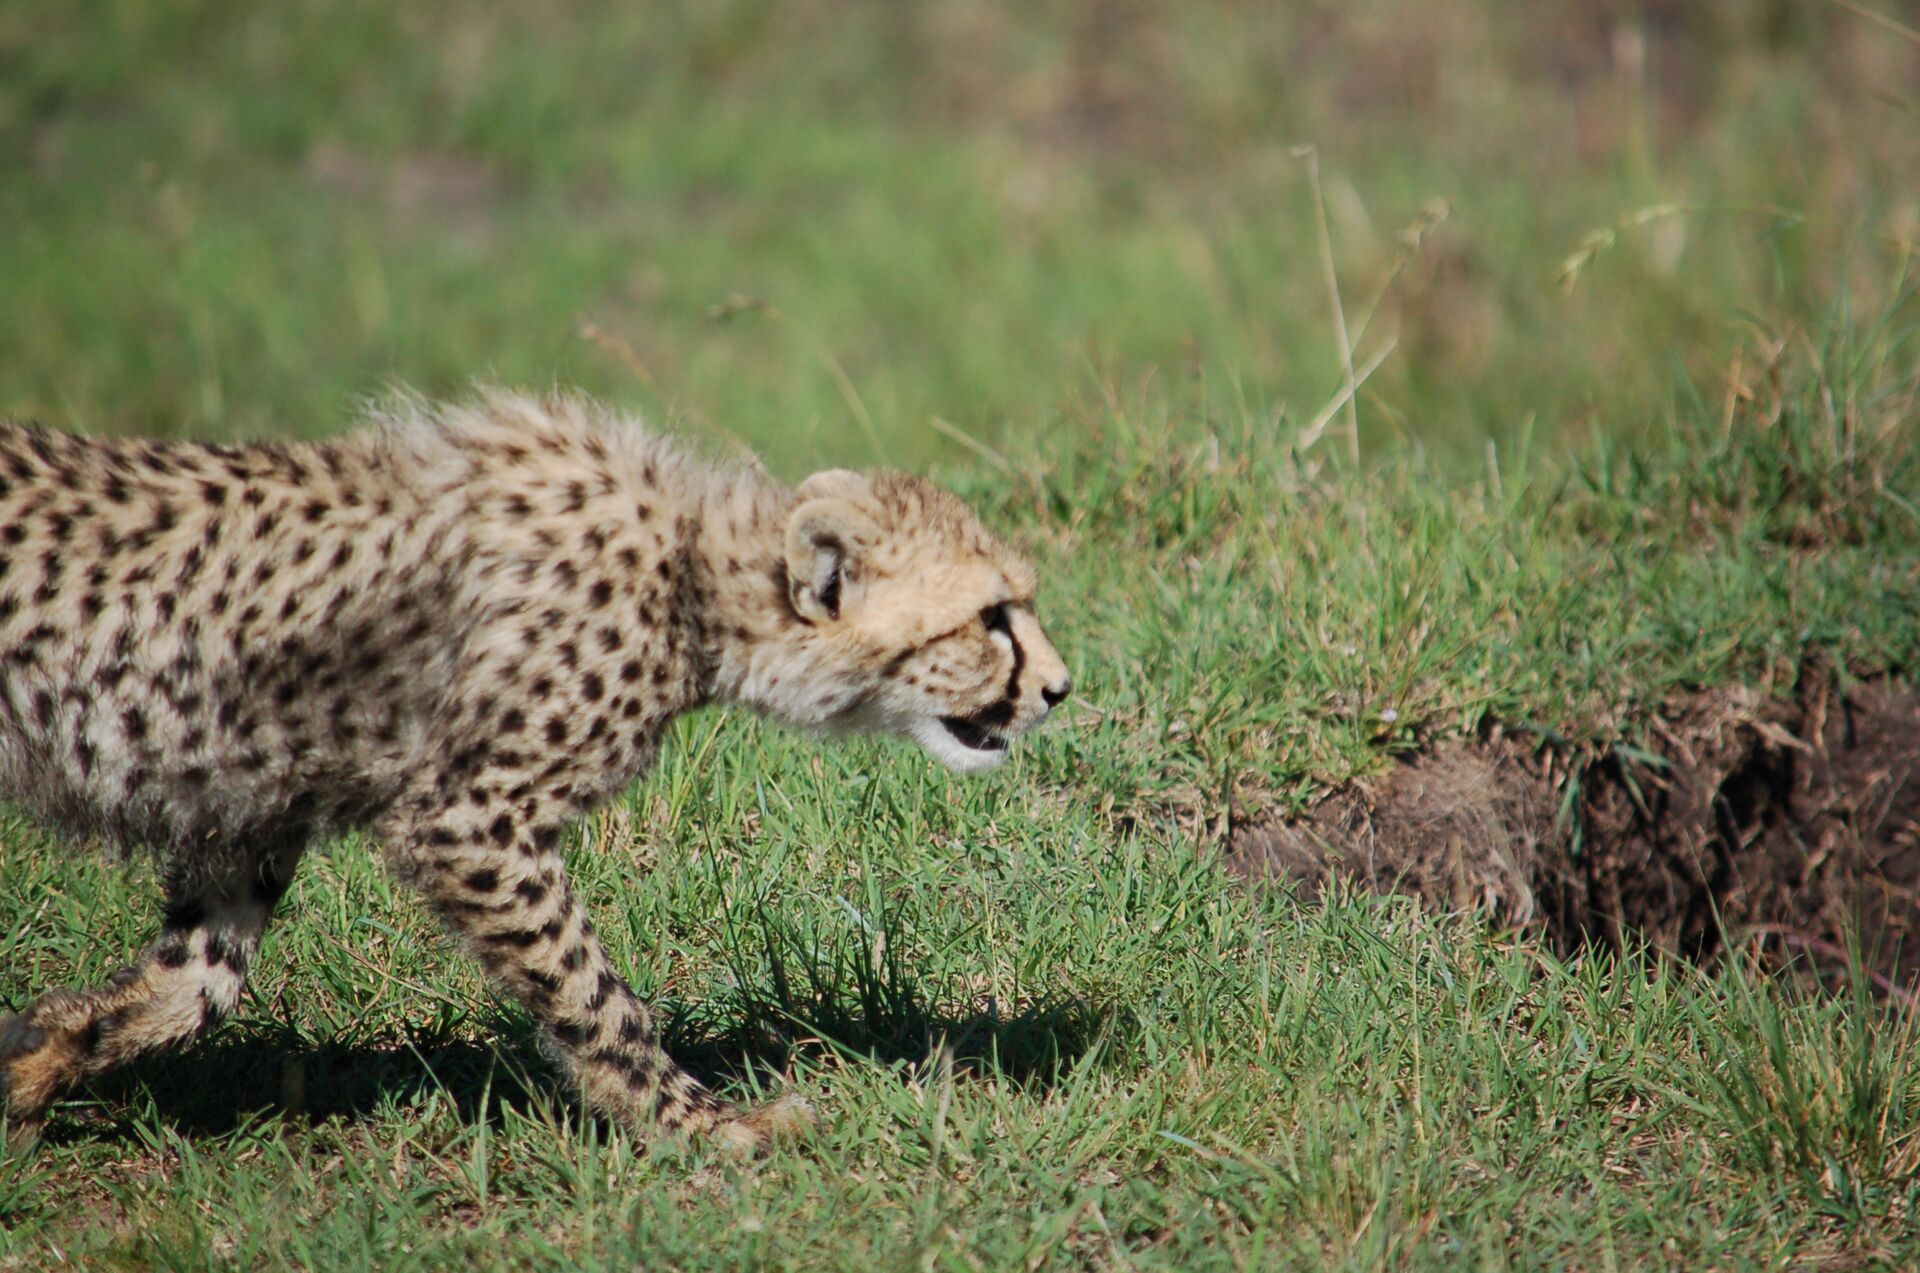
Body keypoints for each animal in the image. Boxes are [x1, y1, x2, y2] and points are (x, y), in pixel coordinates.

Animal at [0, 389, 1070, 1152]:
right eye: (991, 617)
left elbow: (193, 984)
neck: (692, 578)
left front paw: (35, 1059)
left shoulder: (253, 816)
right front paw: (706, 1126)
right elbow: (593, 994)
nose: (1061, 688)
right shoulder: (469, 817)